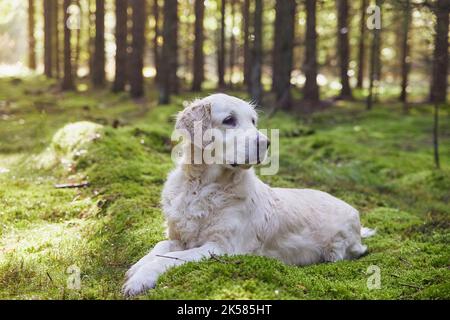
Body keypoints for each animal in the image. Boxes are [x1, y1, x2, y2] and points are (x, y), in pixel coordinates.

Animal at [122, 94, 372, 296]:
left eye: (253, 121)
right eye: (229, 120)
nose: (266, 143)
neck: (202, 187)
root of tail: (355, 211)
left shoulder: (220, 247)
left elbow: (170, 258)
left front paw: (140, 279)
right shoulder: (178, 237)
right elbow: (159, 247)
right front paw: (136, 267)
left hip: (338, 245)